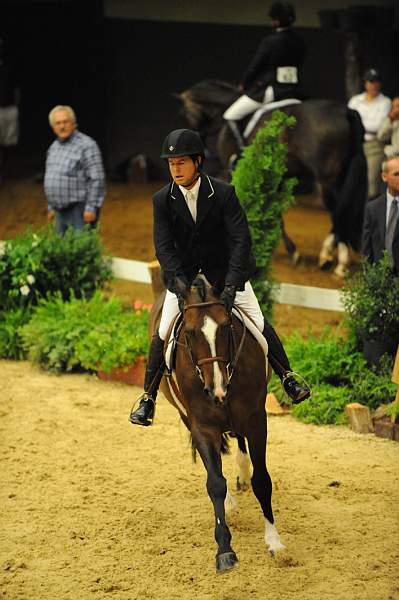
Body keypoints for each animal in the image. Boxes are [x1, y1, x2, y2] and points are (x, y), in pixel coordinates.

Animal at [149, 278, 284, 576]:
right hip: (187, 417)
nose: (217, 389)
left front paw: (274, 541)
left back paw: (242, 474)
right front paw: (224, 550)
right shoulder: (202, 426)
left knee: (239, 441)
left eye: (225, 326)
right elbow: (215, 484)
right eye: (189, 333)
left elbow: (262, 480)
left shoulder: (257, 420)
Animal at [178, 79, 368, 276]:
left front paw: (293, 253)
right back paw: (332, 256)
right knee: (343, 209)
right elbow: (276, 212)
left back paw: (337, 261)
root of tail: (345, 111)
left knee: (338, 209)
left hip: (327, 179)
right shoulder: (277, 177)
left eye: (185, 115)